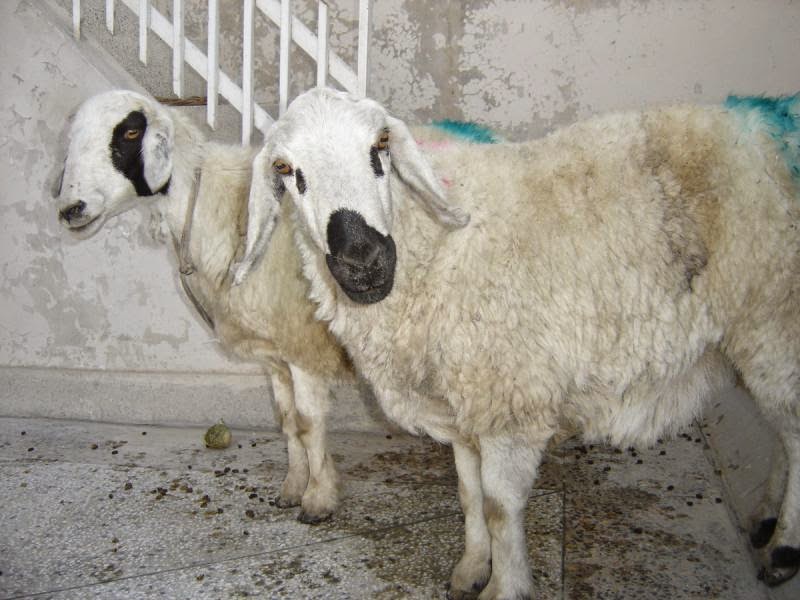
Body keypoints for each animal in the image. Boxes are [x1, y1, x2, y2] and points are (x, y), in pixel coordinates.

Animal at [238, 86, 800, 596]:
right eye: (285, 169)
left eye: (381, 145)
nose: (364, 260)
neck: (438, 247)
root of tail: (778, 115)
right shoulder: (466, 410)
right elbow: (469, 496)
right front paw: (471, 569)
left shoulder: (509, 402)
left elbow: (499, 508)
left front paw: (505, 586)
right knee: (786, 433)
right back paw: (765, 522)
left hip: (773, 321)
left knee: (794, 429)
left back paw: (782, 550)